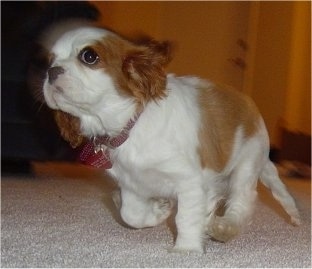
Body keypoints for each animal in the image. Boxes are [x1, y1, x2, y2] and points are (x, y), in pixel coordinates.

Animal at [36, 23, 300, 251]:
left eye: (89, 56)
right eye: (49, 61)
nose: (51, 71)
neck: (130, 125)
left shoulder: (189, 180)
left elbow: (185, 217)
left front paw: (186, 250)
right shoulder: (131, 184)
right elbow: (130, 214)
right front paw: (159, 211)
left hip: (247, 163)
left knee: (241, 202)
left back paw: (223, 227)